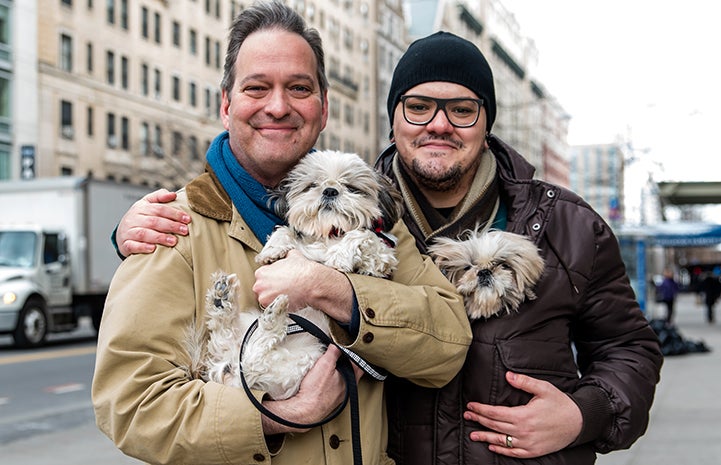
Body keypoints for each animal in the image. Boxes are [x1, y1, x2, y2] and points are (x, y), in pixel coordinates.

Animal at [186, 151, 402, 398]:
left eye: (351, 187)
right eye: (312, 185)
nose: (330, 190)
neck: (328, 234)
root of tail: (227, 370)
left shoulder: (381, 260)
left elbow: (362, 234)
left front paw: (340, 256)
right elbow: (286, 231)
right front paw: (271, 250)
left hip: (297, 363)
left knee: (252, 362)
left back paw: (261, 314)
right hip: (255, 331)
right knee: (235, 347)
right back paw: (224, 300)